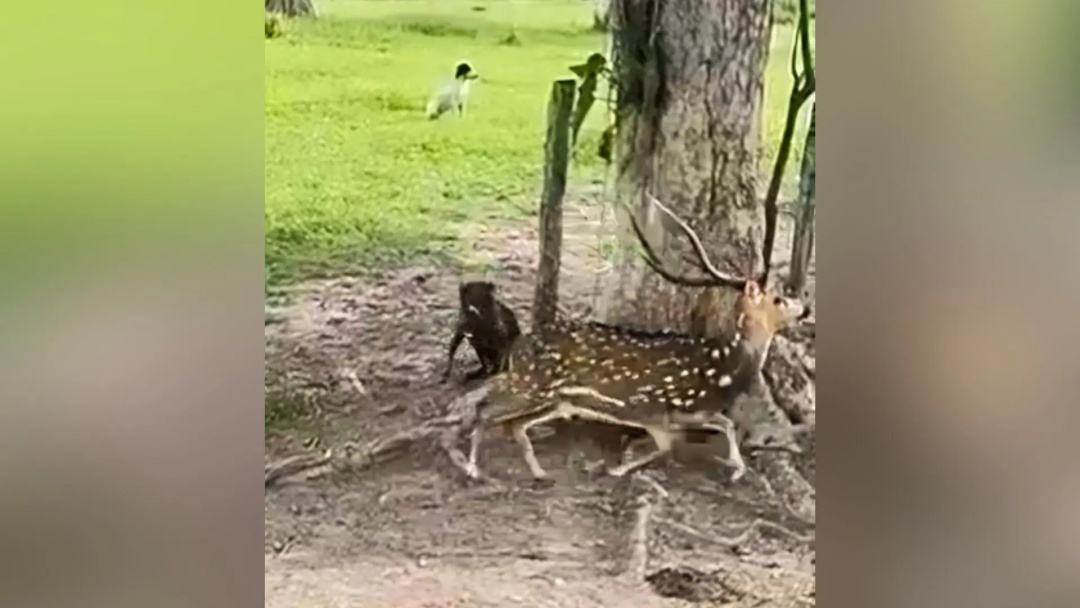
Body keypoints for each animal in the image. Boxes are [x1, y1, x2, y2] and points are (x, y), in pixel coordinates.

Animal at [461, 195, 809, 483]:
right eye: (778, 298)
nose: (804, 308)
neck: (720, 372)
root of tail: (517, 347)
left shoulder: (689, 413)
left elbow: (725, 424)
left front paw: (737, 469)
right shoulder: (653, 411)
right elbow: (667, 447)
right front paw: (616, 468)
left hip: (555, 399)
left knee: (514, 425)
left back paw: (540, 473)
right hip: (531, 384)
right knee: (485, 408)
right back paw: (474, 469)